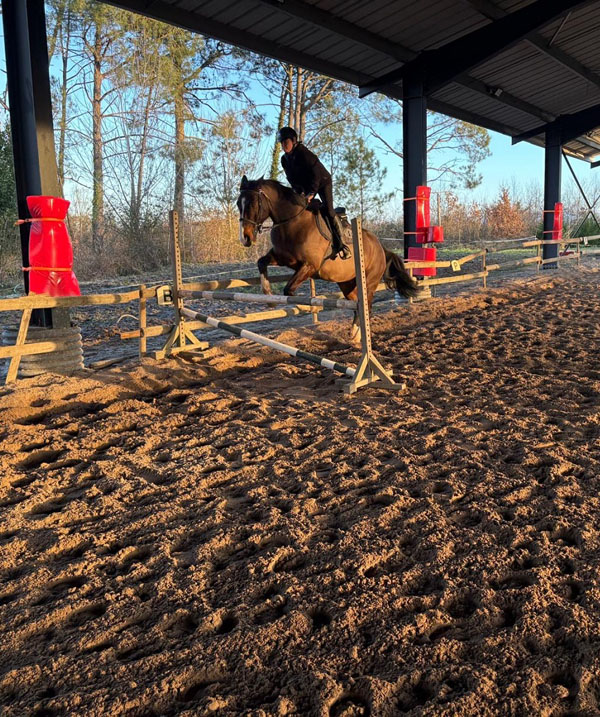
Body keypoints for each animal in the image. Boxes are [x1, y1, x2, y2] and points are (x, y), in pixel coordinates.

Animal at [236, 176, 418, 342]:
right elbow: (261, 262)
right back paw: (355, 334)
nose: (245, 238)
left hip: (369, 282)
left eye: (253, 203)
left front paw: (302, 304)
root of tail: (380, 247)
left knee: (367, 306)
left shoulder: (310, 266)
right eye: (239, 204)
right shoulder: (282, 258)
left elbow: (288, 290)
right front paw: (269, 296)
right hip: (347, 284)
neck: (292, 221)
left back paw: (356, 335)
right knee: (357, 305)